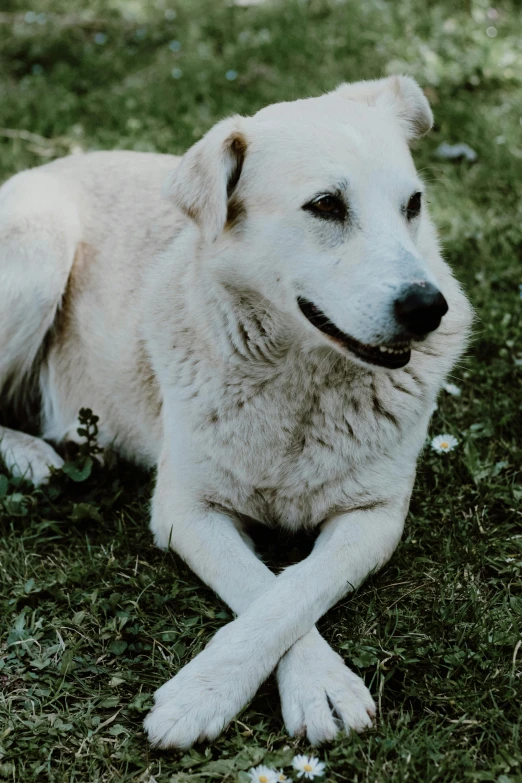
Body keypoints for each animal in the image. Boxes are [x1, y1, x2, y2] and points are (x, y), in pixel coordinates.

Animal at [0, 78, 472, 748]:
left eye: (414, 204)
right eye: (326, 205)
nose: (429, 308)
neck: (302, 384)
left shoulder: (375, 516)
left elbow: (294, 588)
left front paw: (307, 687)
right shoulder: (185, 510)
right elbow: (260, 586)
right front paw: (207, 693)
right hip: (40, 250)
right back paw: (30, 454)